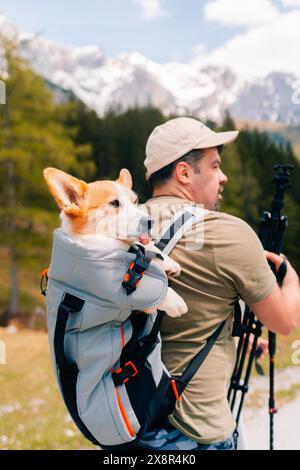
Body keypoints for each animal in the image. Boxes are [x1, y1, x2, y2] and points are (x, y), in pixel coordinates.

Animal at [42, 167, 188, 318]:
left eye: (135, 201)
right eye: (114, 203)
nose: (150, 222)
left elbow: (143, 244)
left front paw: (168, 262)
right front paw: (175, 300)